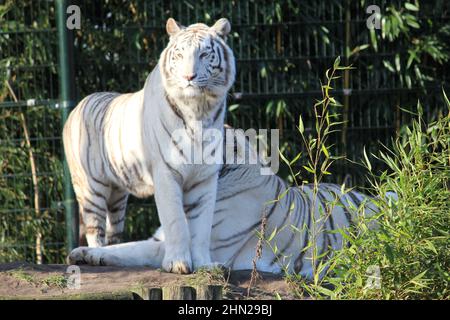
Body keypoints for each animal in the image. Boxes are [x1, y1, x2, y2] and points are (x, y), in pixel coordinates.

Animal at [64, 17, 237, 274]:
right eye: (179, 55)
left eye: (205, 54)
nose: (189, 77)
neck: (199, 109)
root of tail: (77, 106)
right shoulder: (166, 172)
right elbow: (176, 221)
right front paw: (177, 263)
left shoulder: (205, 179)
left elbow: (202, 227)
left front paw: (204, 265)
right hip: (91, 187)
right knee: (95, 229)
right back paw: (94, 254)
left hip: (117, 196)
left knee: (113, 231)